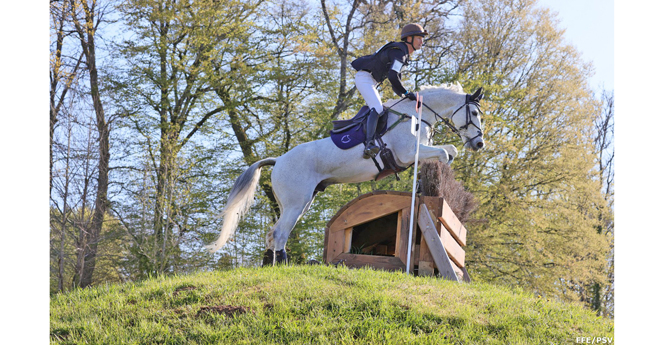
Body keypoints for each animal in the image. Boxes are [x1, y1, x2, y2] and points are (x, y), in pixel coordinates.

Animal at [206, 81, 484, 264]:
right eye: (474, 113)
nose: (479, 144)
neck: (415, 115)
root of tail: (279, 160)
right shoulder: (408, 153)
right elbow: (445, 153)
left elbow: (448, 152)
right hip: (296, 202)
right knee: (280, 233)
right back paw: (282, 266)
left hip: (299, 203)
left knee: (273, 234)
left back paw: (271, 265)